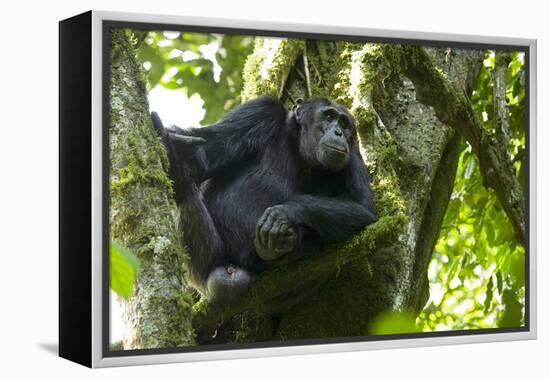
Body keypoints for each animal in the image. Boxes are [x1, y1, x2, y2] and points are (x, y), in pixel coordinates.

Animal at [153, 96, 382, 302]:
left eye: (344, 123)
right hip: (205, 266)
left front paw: (283, 214)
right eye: (328, 116)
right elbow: (203, 155)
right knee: (186, 188)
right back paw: (177, 168)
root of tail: (232, 269)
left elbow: (363, 208)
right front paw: (171, 141)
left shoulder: (352, 154)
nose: (338, 132)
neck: (299, 148)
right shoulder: (259, 112)